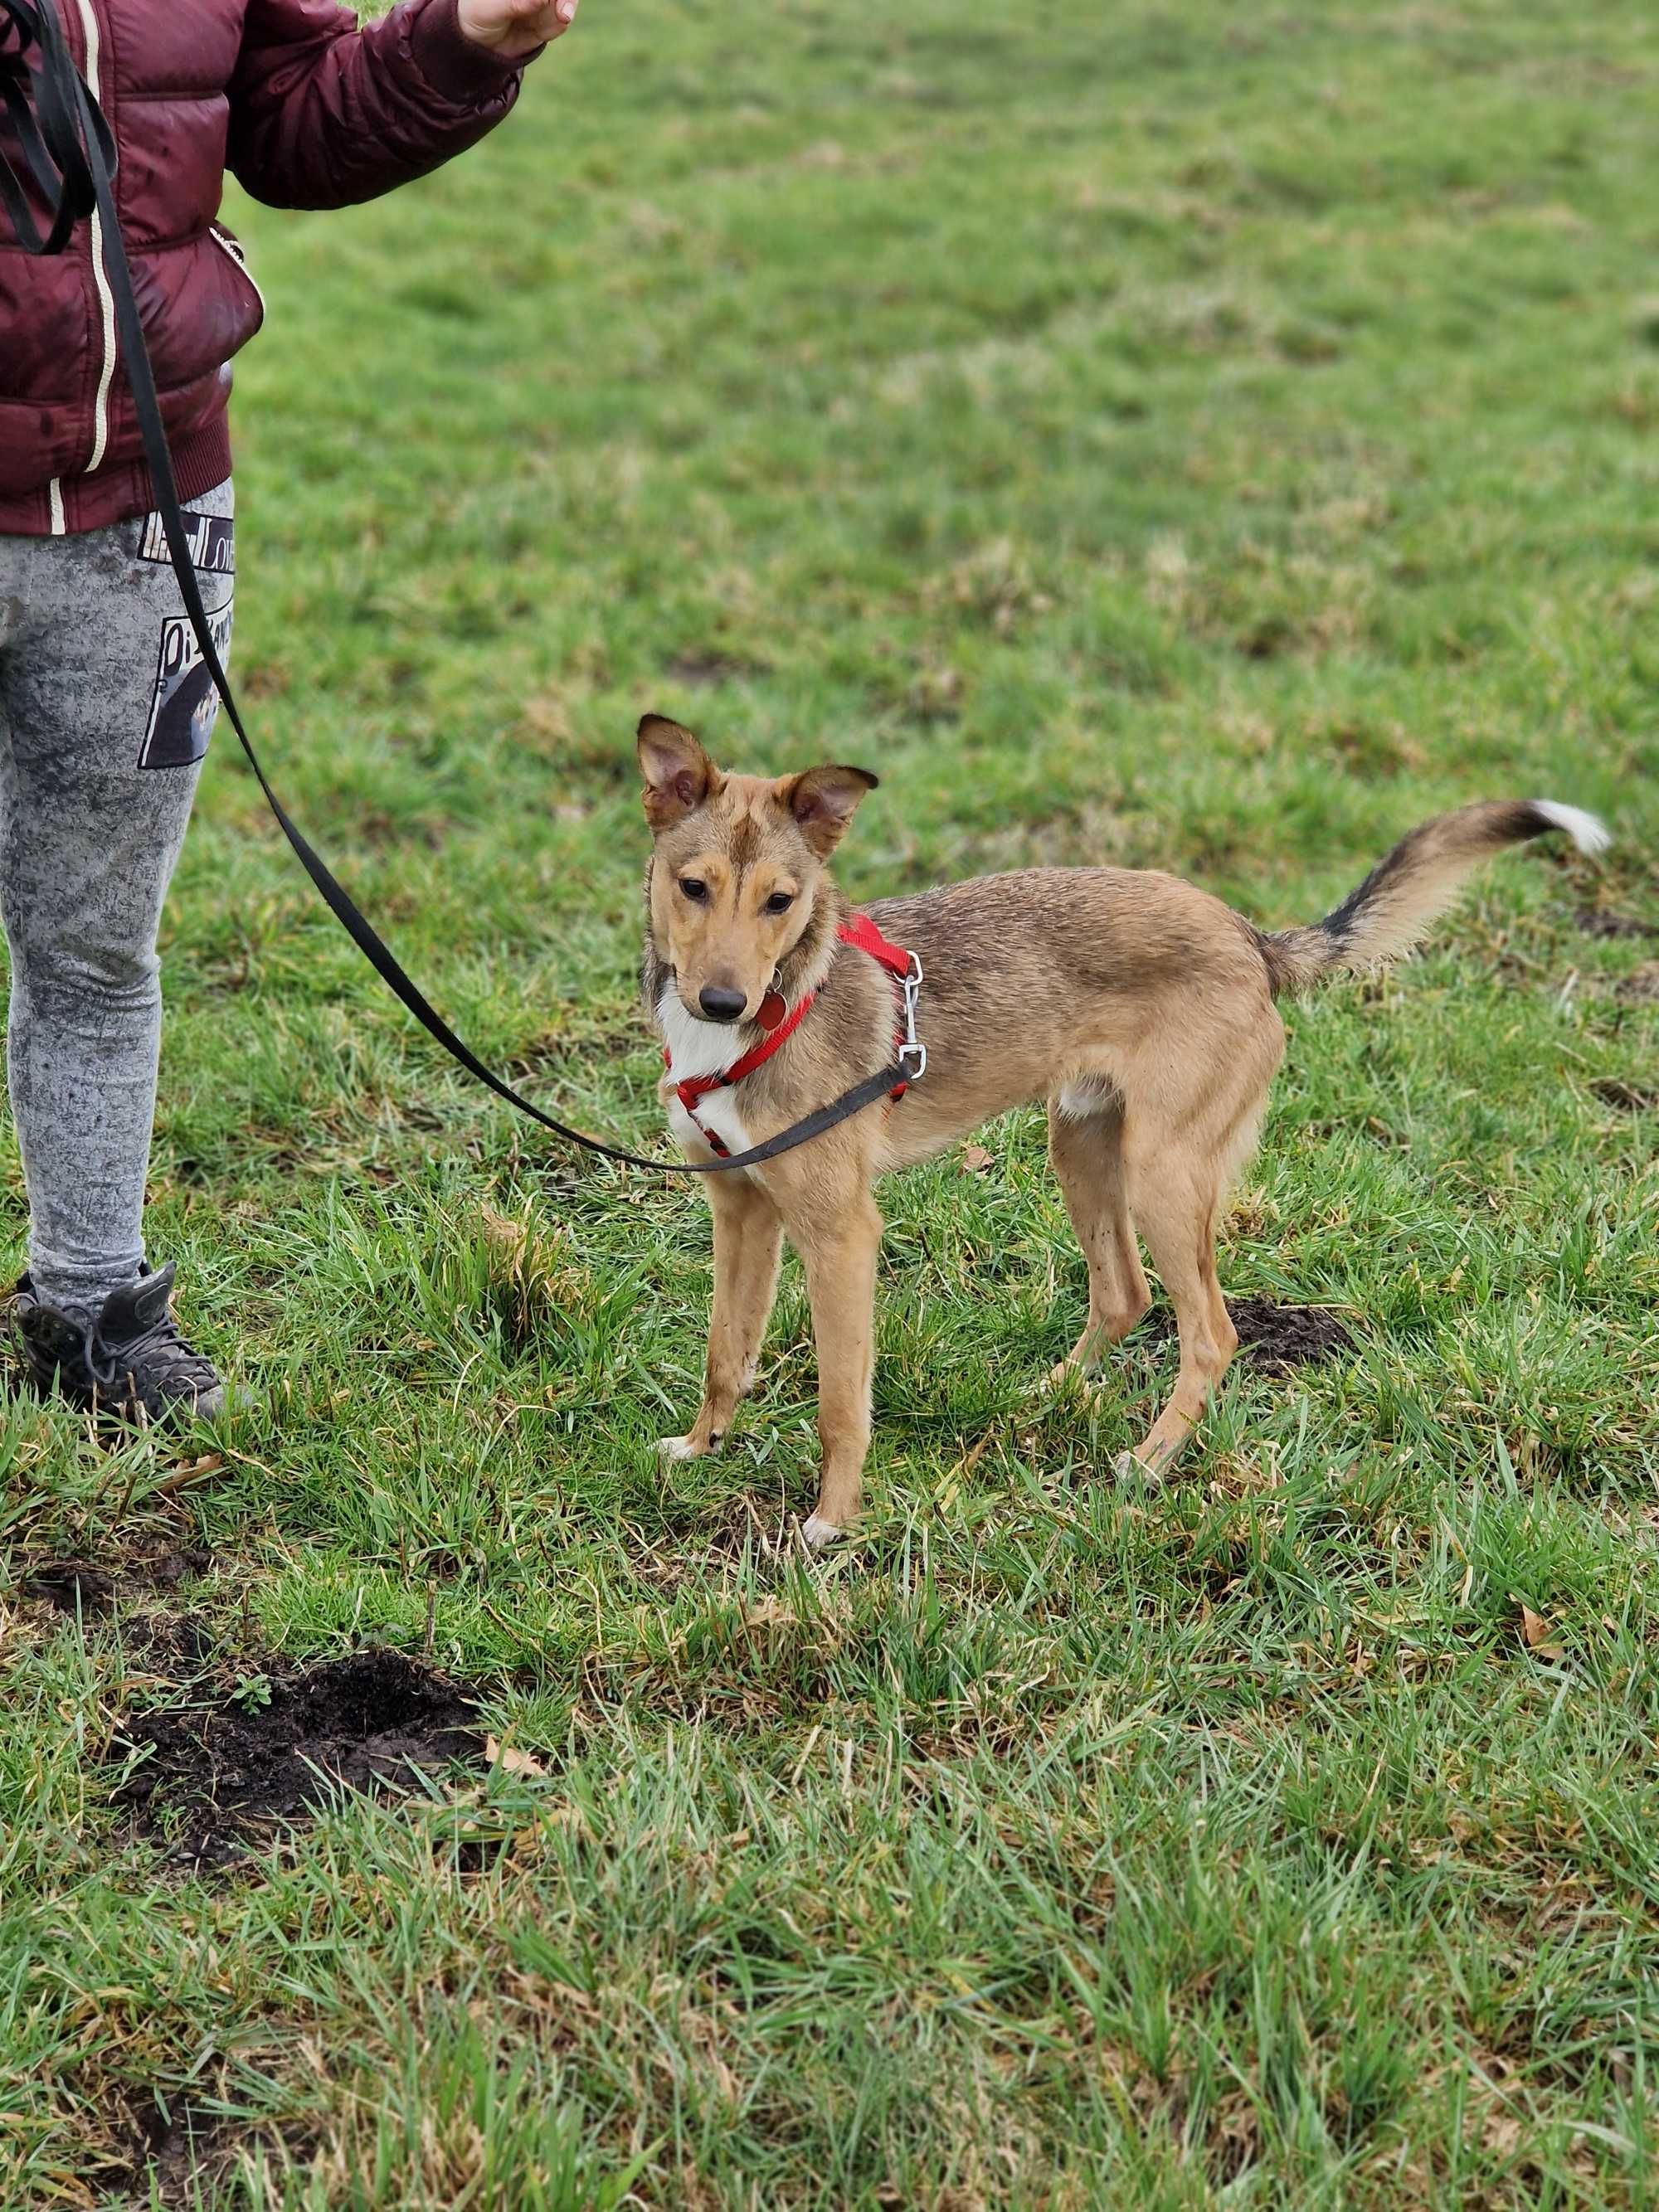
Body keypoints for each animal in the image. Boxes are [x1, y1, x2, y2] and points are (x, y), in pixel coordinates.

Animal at [641, 717, 1610, 1548]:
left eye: (781, 901)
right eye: (692, 889)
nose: (721, 999)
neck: (765, 1017)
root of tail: (1248, 938)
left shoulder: (840, 1233)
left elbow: (842, 1400)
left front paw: (832, 1522)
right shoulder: (740, 1208)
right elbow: (724, 1351)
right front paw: (700, 1447)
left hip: (1162, 1172)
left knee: (1210, 1334)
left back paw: (1147, 1463)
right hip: (1081, 1145)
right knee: (1125, 1296)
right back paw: (1050, 1395)